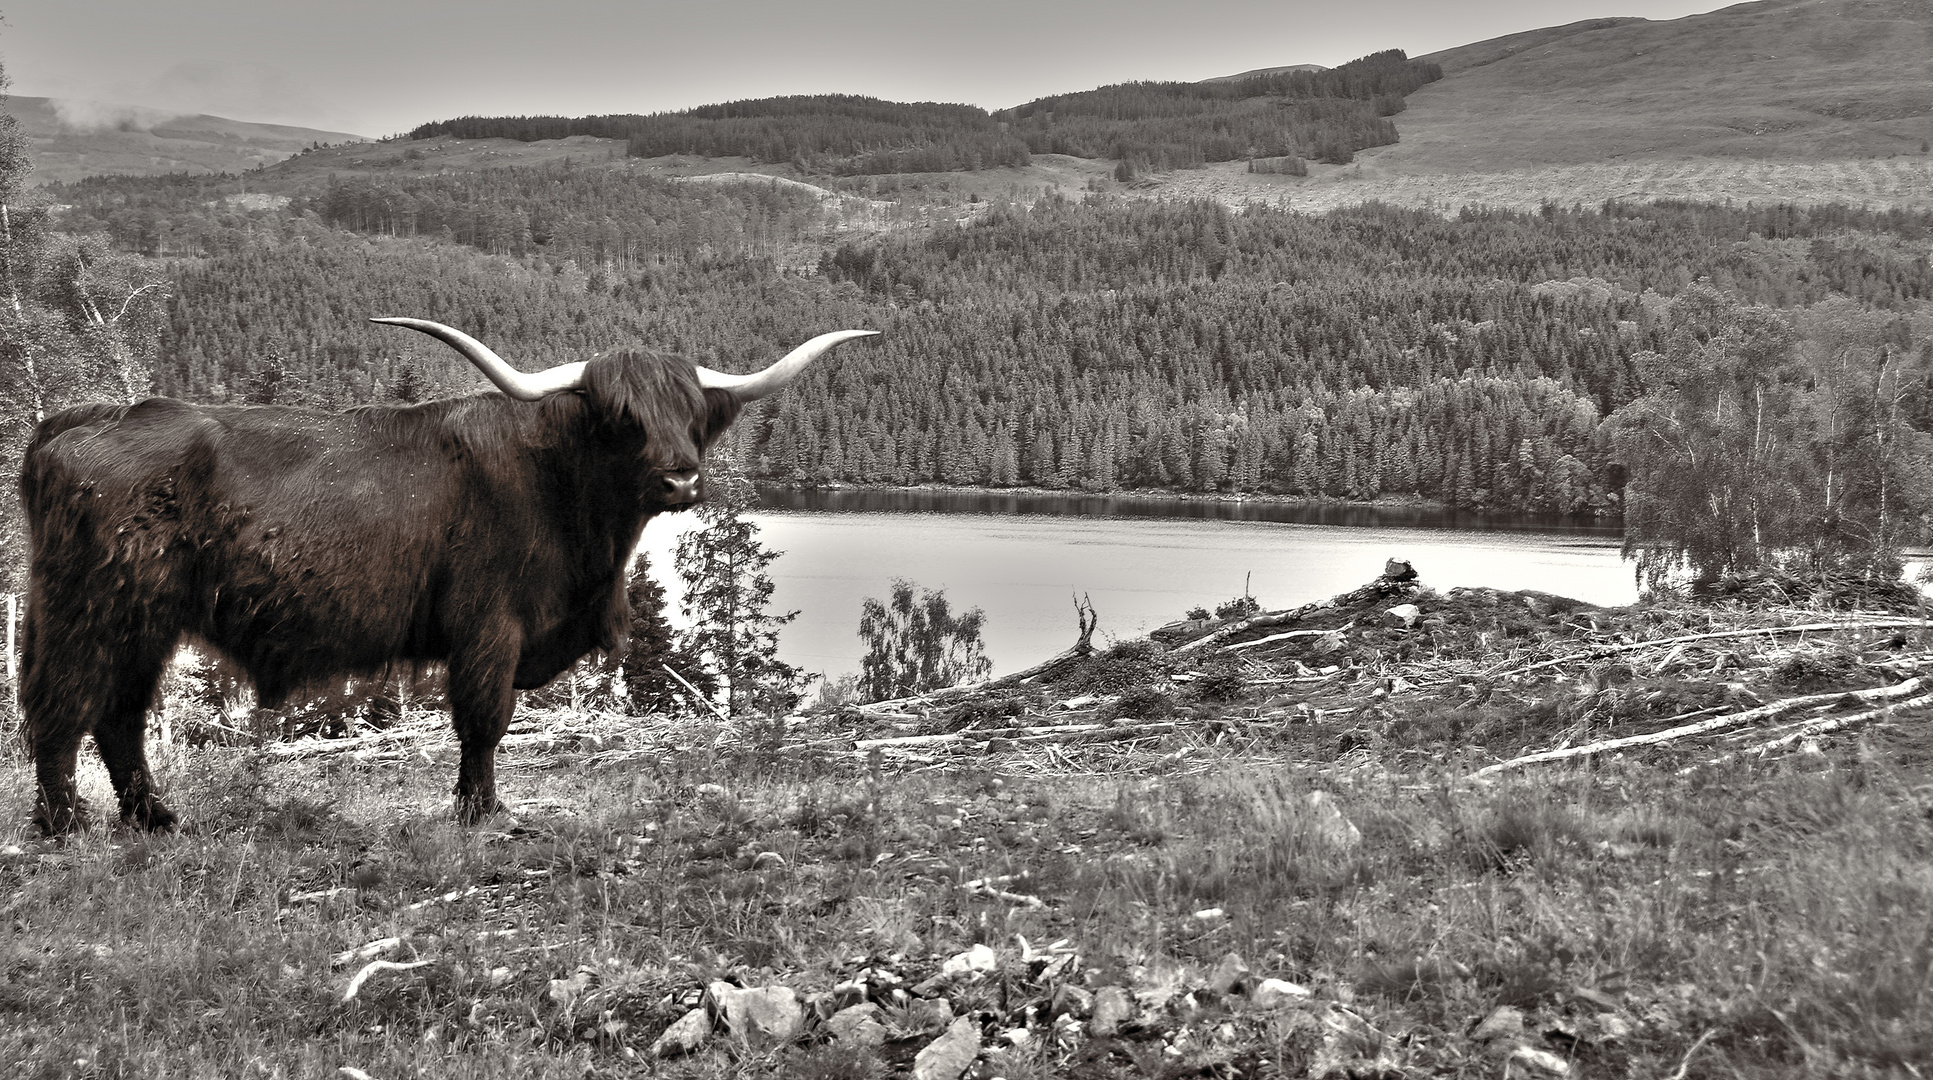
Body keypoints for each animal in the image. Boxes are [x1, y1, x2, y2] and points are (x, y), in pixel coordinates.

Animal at [13, 320, 877, 838]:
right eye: (620, 418)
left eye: (691, 413)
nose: (679, 478)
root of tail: (82, 419)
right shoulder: (488, 625)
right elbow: (485, 720)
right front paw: (482, 809)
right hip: (93, 608)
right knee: (63, 709)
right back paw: (65, 824)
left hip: (144, 621)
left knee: (120, 714)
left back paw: (153, 817)